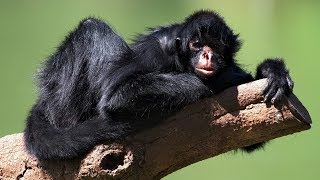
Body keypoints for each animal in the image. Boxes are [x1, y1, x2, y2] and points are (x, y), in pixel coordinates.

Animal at [23, 10, 294, 159]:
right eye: (196, 44)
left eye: (216, 46)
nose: (207, 55)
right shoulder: (156, 51)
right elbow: (118, 95)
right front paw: (223, 79)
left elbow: (252, 139)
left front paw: (272, 71)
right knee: (92, 28)